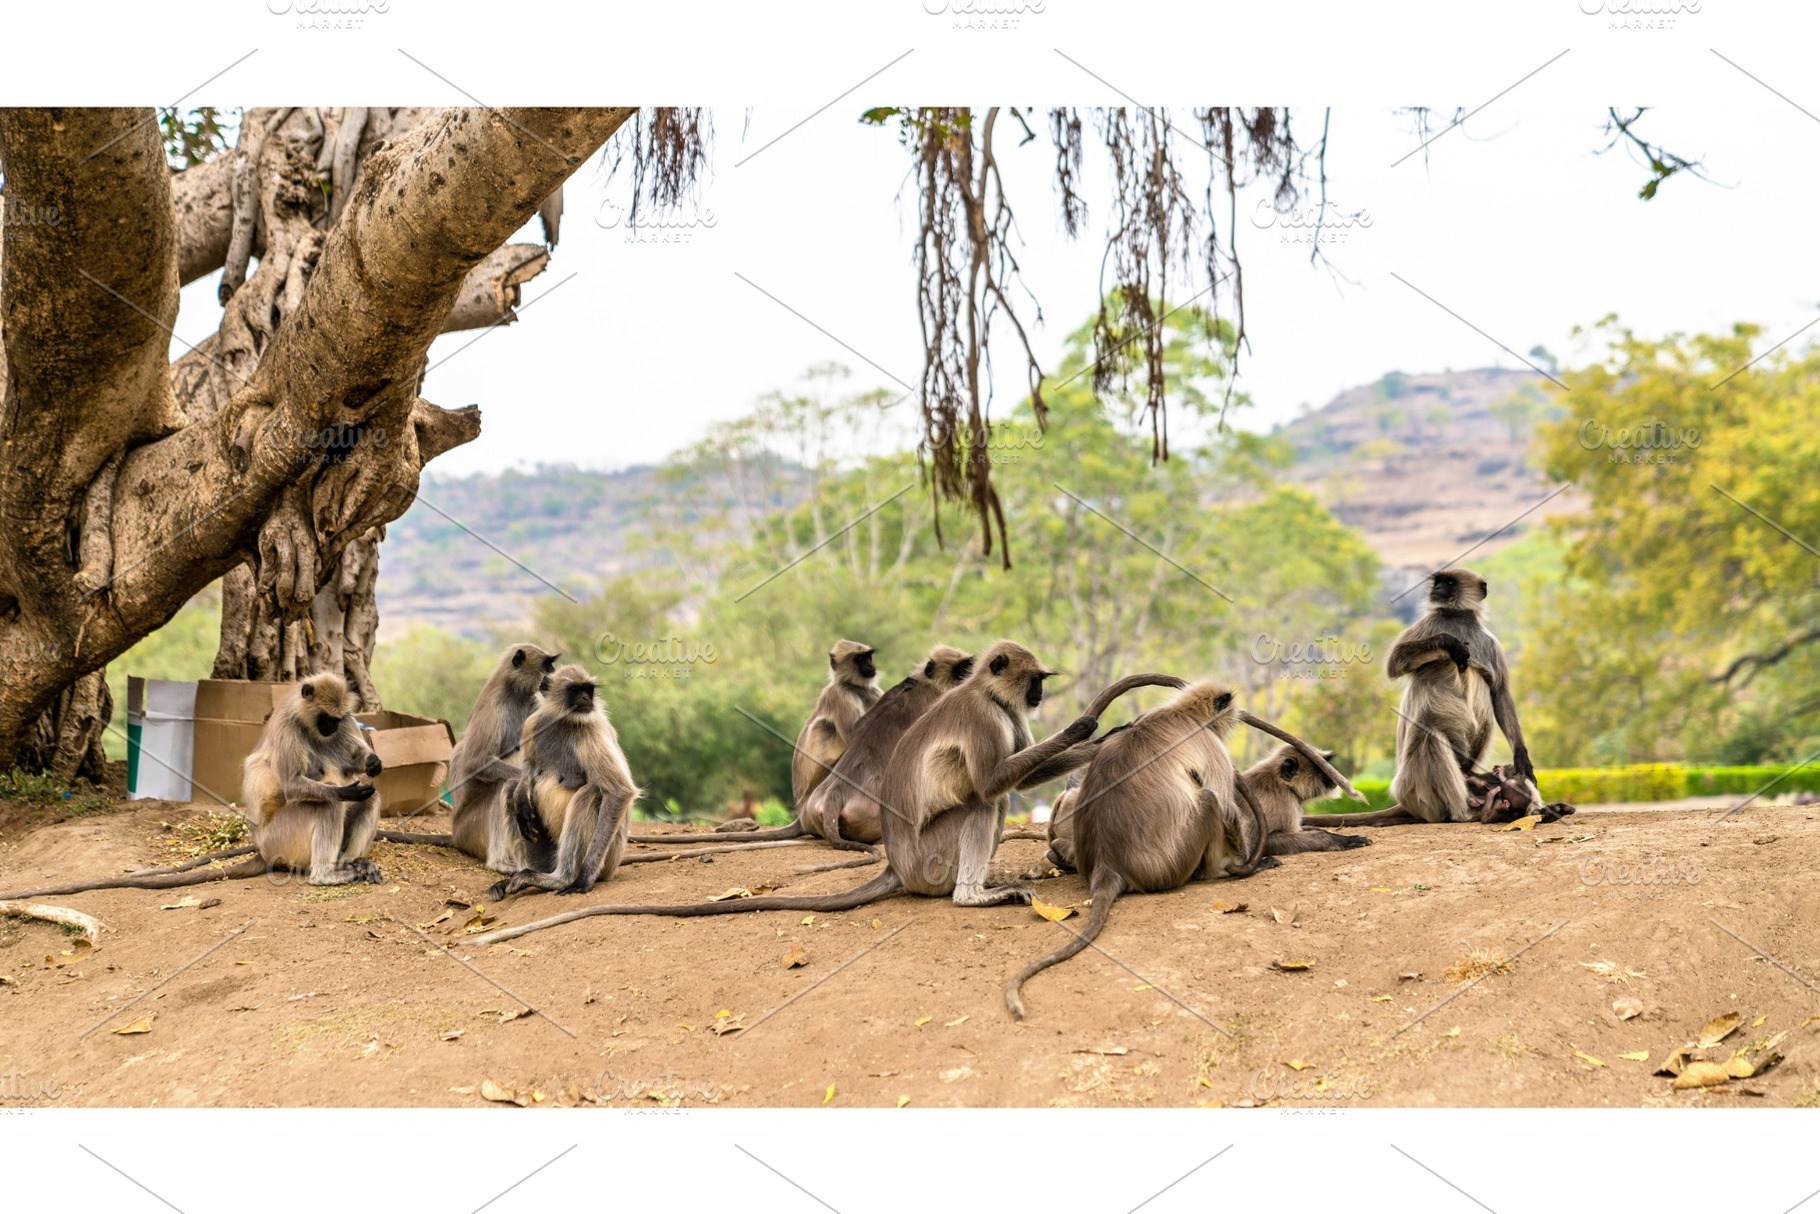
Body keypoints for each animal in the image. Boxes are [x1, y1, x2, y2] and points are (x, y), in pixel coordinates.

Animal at [240, 673, 385, 885]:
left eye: (337, 719)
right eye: (325, 718)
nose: (332, 727)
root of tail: (262, 850)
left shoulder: (347, 719)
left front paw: (373, 763)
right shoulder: (287, 725)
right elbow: (292, 786)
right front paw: (346, 791)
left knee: (371, 797)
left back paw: (352, 863)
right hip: (279, 839)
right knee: (329, 804)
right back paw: (324, 876)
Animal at [448, 643, 559, 873]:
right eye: (548, 666)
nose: (553, 674)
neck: (515, 694)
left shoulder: (534, 702)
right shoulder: (494, 707)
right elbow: (475, 763)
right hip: (469, 829)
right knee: (502, 783)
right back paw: (499, 862)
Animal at [486, 664, 640, 900]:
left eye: (588, 689)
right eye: (575, 689)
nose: (586, 698)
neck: (563, 720)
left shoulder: (591, 728)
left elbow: (619, 791)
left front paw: (584, 877)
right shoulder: (533, 723)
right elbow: (529, 766)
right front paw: (522, 796)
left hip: (610, 858)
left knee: (589, 793)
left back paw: (561, 879)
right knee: (510, 788)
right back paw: (524, 874)